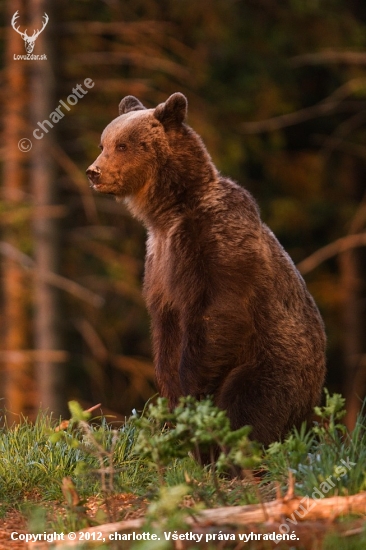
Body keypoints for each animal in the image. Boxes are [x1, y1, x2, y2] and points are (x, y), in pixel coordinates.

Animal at [86, 92, 326, 446]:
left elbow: (218, 312)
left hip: (276, 360)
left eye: (123, 145)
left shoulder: (215, 241)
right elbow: (166, 329)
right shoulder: (159, 261)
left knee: (252, 403)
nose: (94, 172)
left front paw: (192, 388)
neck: (168, 211)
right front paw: (172, 401)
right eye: (104, 143)